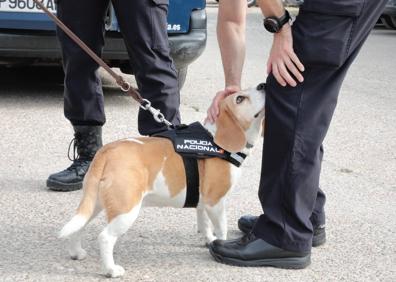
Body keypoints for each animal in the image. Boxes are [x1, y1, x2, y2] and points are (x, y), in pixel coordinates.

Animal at [58, 87, 264, 278]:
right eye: (239, 98)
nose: (263, 85)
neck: (216, 141)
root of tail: (107, 151)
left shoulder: (203, 201)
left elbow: (204, 222)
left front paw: (208, 239)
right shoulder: (215, 201)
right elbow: (221, 228)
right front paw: (220, 244)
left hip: (95, 204)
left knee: (78, 226)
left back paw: (76, 253)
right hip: (126, 210)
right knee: (105, 237)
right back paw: (111, 270)